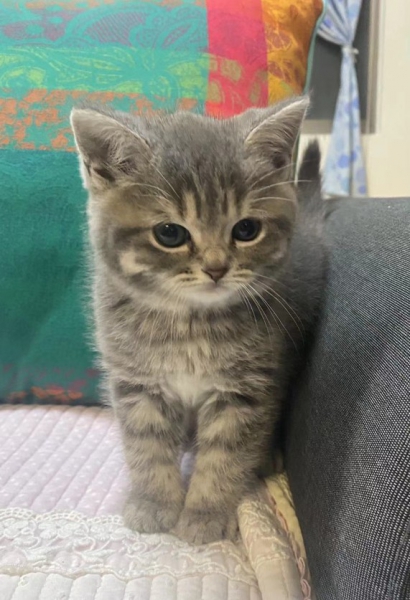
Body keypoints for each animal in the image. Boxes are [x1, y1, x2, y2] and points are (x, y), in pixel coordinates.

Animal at [70, 96, 326, 545]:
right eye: (170, 234)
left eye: (246, 229)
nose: (216, 268)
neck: (189, 324)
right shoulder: (138, 384)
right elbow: (147, 445)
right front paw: (154, 502)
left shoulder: (246, 390)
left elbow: (225, 455)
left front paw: (205, 512)